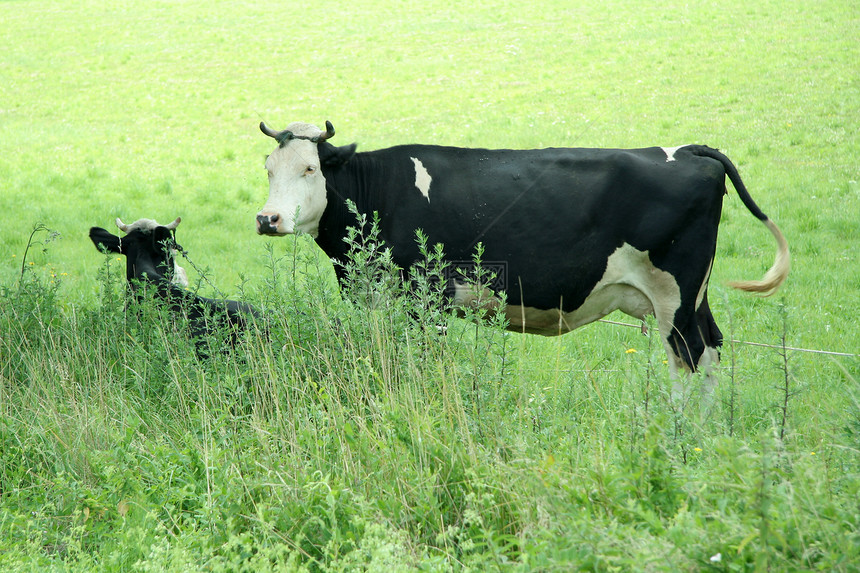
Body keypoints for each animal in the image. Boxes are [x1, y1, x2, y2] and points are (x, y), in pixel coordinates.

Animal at [254, 122, 788, 386]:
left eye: (309, 168)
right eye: (268, 168)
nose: (268, 219)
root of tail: (689, 149)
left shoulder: (426, 300)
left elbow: (423, 361)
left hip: (674, 295)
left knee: (688, 359)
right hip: (694, 298)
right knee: (712, 350)